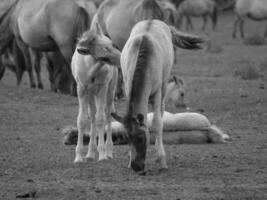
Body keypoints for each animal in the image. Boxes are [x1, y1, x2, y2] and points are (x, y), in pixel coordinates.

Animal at [71, 24, 121, 163]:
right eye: (104, 48)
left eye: (112, 44)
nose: (121, 57)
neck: (92, 68)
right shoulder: (81, 88)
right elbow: (82, 119)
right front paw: (78, 157)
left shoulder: (102, 87)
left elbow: (101, 118)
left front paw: (103, 155)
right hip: (90, 93)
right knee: (92, 115)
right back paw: (90, 153)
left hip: (110, 89)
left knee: (108, 114)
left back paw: (108, 152)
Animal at [111, 19, 203, 172]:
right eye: (127, 138)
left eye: (140, 138)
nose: (136, 166)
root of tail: (153, 20)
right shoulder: (127, 88)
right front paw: (129, 161)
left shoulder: (158, 93)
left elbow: (157, 123)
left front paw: (161, 160)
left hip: (164, 87)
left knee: (161, 111)